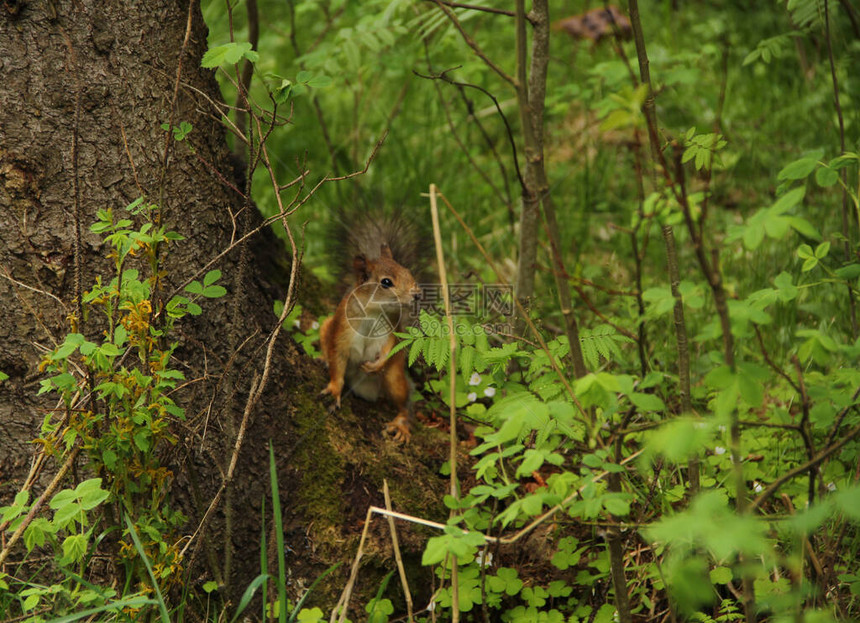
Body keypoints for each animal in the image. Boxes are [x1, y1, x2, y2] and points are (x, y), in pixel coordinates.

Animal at [320, 212, 424, 442]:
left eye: (408, 271)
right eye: (386, 282)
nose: (417, 294)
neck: (374, 312)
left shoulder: (391, 329)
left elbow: (390, 346)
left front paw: (376, 364)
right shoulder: (342, 330)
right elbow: (337, 360)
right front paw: (334, 390)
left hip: (394, 378)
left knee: (404, 401)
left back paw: (401, 424)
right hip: (325, 327)